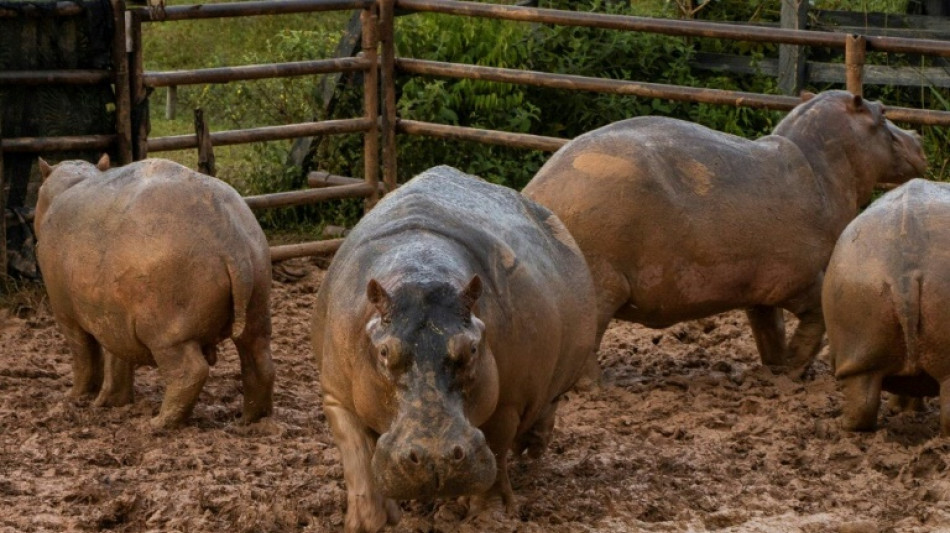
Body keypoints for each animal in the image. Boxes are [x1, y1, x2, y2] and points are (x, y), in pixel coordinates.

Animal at [36, 155, 276, 428]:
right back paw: (249, 420)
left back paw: (156, 423)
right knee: (260, 362)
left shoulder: (67, 315)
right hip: (257, 305)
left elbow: (84, 356)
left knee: (190, 372)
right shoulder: (113, 318)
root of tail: (230, 239)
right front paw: (111, 402)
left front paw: (75, 397)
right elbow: (116, 360)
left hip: (166, 332)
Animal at [310, 164, 596, 528]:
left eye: (471, 349)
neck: (419, 272)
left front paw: (491, 517)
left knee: (546, 406)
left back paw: (528, 451)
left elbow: (496, 451)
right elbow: (357, 457)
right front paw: (370, 523)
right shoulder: (337, 396)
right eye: (385, 352)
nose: (436, 458)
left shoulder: (507, 401)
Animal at [520, 89, 928, 376]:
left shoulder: (761, 291)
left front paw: (776, 369)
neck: (821, 166)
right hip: (601, 286)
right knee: (586, 348)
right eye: (882, 112)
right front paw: (795, 368)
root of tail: (534, 194)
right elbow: (817, 318)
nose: (918, 136)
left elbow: (769, 331)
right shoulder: (801, 279)